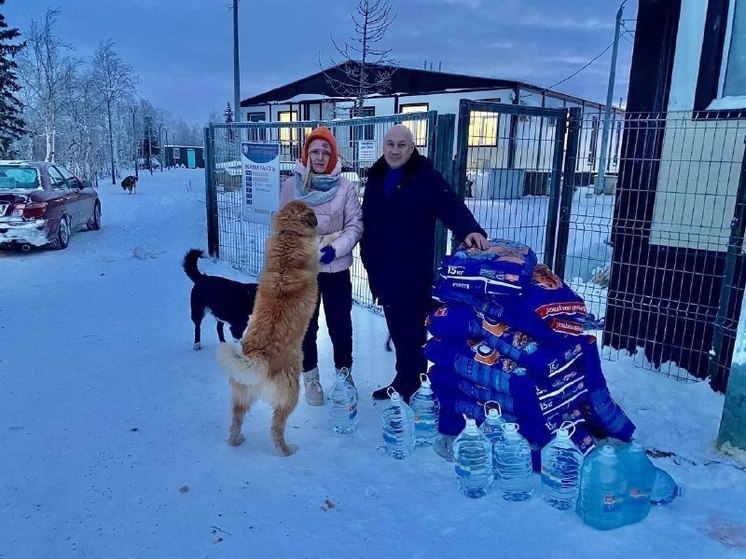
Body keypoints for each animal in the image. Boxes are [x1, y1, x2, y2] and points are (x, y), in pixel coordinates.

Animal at [217, 199, 318, 458]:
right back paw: (286, 450)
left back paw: (236, 440)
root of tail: (259, 358)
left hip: (241, 396)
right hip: (290, 394)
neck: (289, 237)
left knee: (235, 421)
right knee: (275, 429)